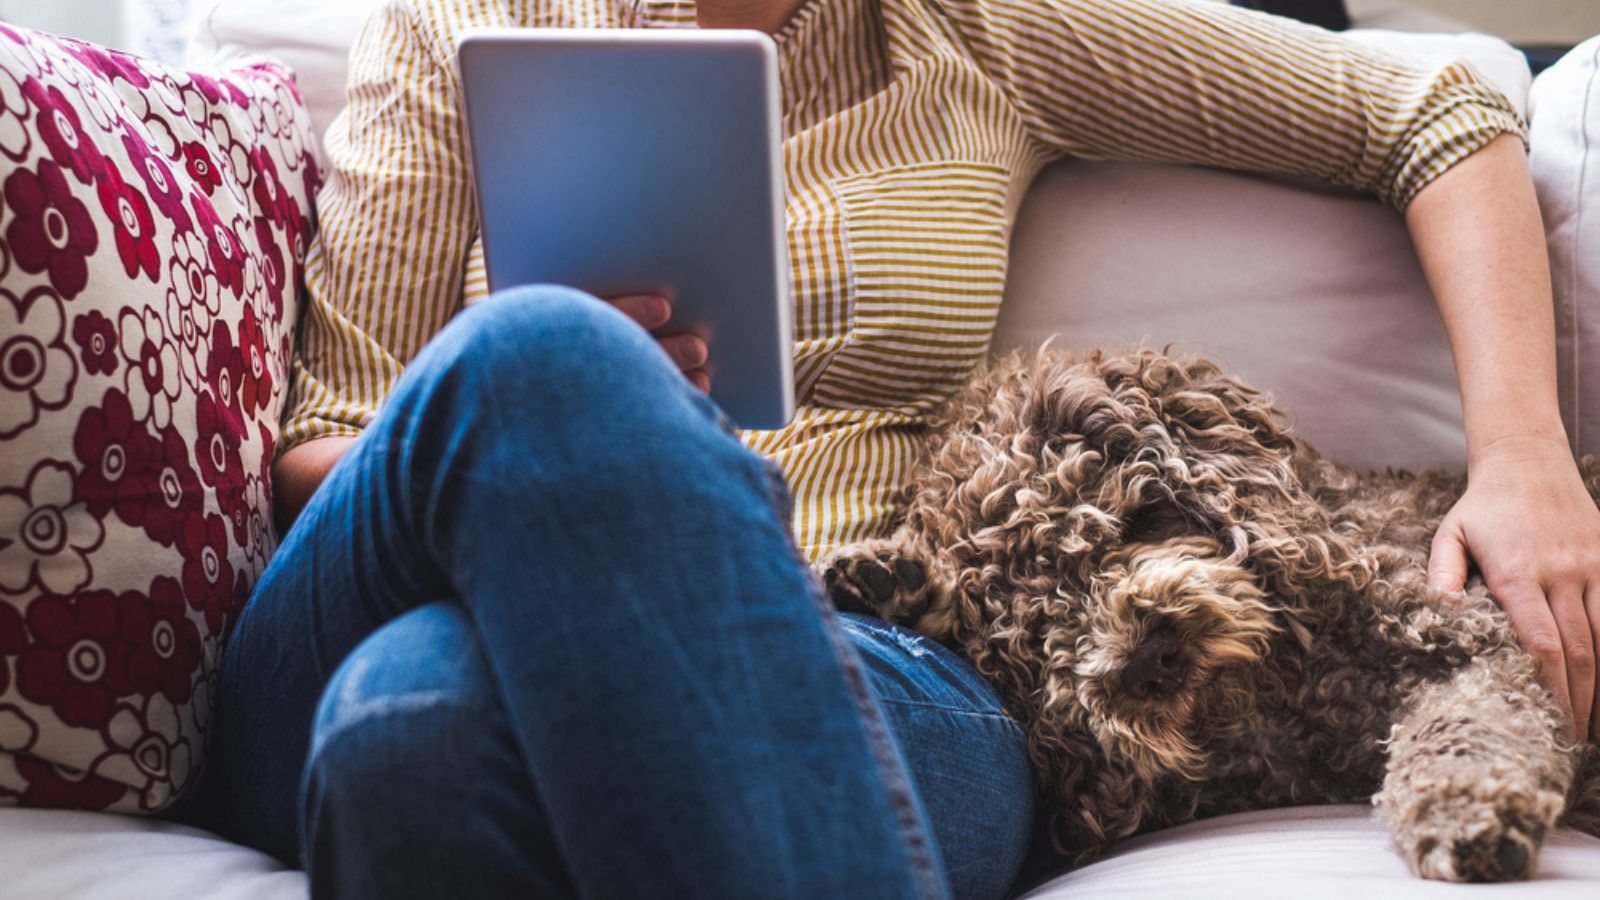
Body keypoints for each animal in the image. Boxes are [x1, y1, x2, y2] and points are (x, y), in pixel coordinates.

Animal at [819, 347, 1600, 877]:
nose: (1148, 659)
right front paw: (891, 583)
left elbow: (1466, 727)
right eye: (1036, 632)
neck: (1268, 696)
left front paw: (1468, 813)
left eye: (1121, 523)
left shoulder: (1466, 640)